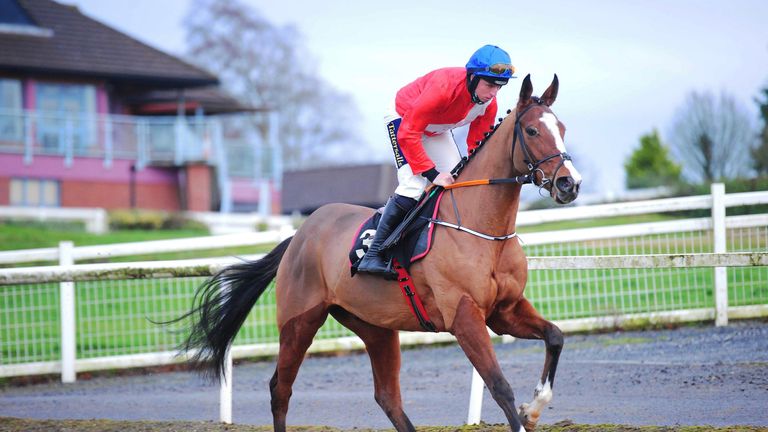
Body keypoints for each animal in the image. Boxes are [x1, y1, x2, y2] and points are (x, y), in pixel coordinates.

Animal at [176, 75, 584, 432]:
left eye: (562, 128)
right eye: (532, 131)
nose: (570, 183)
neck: (483, 228)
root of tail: (299, 236)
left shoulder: (504, 311)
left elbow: (556, 336)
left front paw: (533, 408)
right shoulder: (464, 317)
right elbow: (499, 386)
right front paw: (523, 412)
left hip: (374, 326)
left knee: (387, 396)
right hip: (299, 321)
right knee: (281, 388)